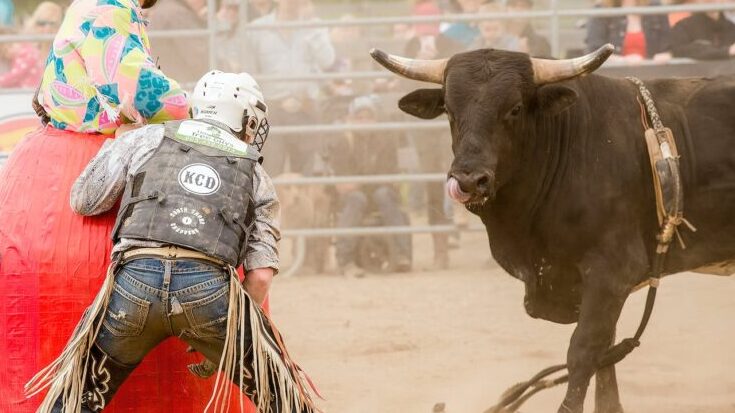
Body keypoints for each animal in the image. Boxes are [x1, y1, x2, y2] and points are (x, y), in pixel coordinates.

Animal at [370, 43, 735, 410]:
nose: (469, 180)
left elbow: (584, 351)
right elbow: (605, 358)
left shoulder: (612, 272)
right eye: (448, 109)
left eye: (515, 108)